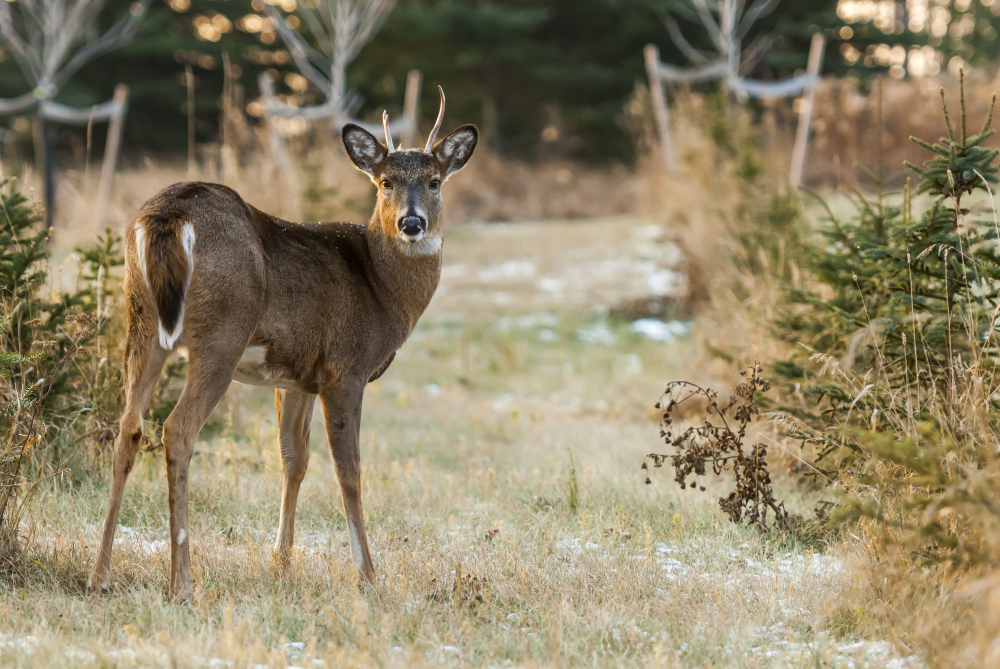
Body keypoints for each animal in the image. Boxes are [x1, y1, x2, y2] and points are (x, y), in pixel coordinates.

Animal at [88, 88, 477, 601]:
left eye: (434, 181)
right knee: (178, 429)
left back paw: (99, 575)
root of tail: (167, 216)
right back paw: (182, 584)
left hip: (142, 321)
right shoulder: (344, 368)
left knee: (128, 427)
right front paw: (368, 576)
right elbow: (349, 471)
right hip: (223, 328)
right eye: (386, 182)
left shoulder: (295, 377)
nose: (411, 223)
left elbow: (294, 460)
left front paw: (282, 563)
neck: (381, 287)